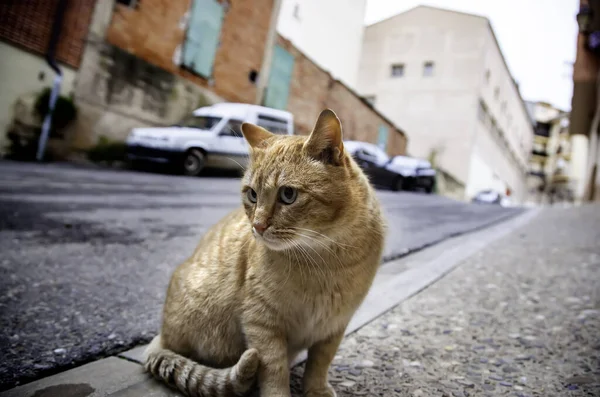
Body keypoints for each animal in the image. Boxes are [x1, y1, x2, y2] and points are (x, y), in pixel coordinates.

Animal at [148, 109, 386, 396]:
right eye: (252, 195)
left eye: (288, 194)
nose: (258, 226)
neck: (328, 258)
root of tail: (161, 334)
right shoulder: (261, 322)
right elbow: (274, 370)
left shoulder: (334, 325)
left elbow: (320, 362)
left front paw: (316, 389)